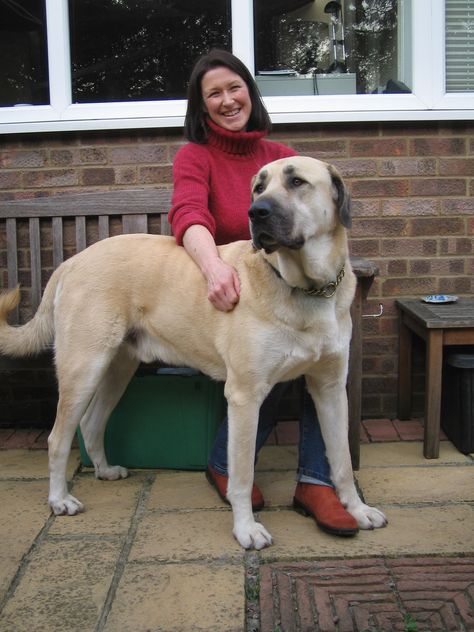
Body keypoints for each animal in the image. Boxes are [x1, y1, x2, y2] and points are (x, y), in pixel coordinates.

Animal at [0, 157, 386, 548]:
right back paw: (59, 499)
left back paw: (105, 471)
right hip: (84, 367)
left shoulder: (330, 388)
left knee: (91, 423)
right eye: (259, 188)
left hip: (117, 368)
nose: (256, 212)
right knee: (57, 438)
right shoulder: (245, 395)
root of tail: (72, 261)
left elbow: (341, 460)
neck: (306, 287)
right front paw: (245, 528)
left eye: (296, 182)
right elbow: (242, 474)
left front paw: (356, 509)